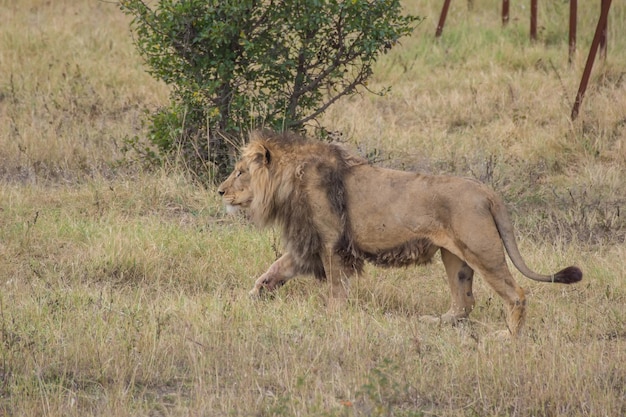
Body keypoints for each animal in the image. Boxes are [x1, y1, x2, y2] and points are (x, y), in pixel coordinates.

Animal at [219, 129, 580, 334]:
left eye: (240, 172)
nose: (220, 191)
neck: (289, 181)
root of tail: (486, 191)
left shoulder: (332, 243)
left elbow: (336, 287)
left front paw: (332, 317)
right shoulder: (308, 243)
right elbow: (273, 271)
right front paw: (250, 298)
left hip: (483, 251)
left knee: (516, 295)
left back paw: (508, 337)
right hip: (455, 257)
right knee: (464, 303)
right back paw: (434, 323)